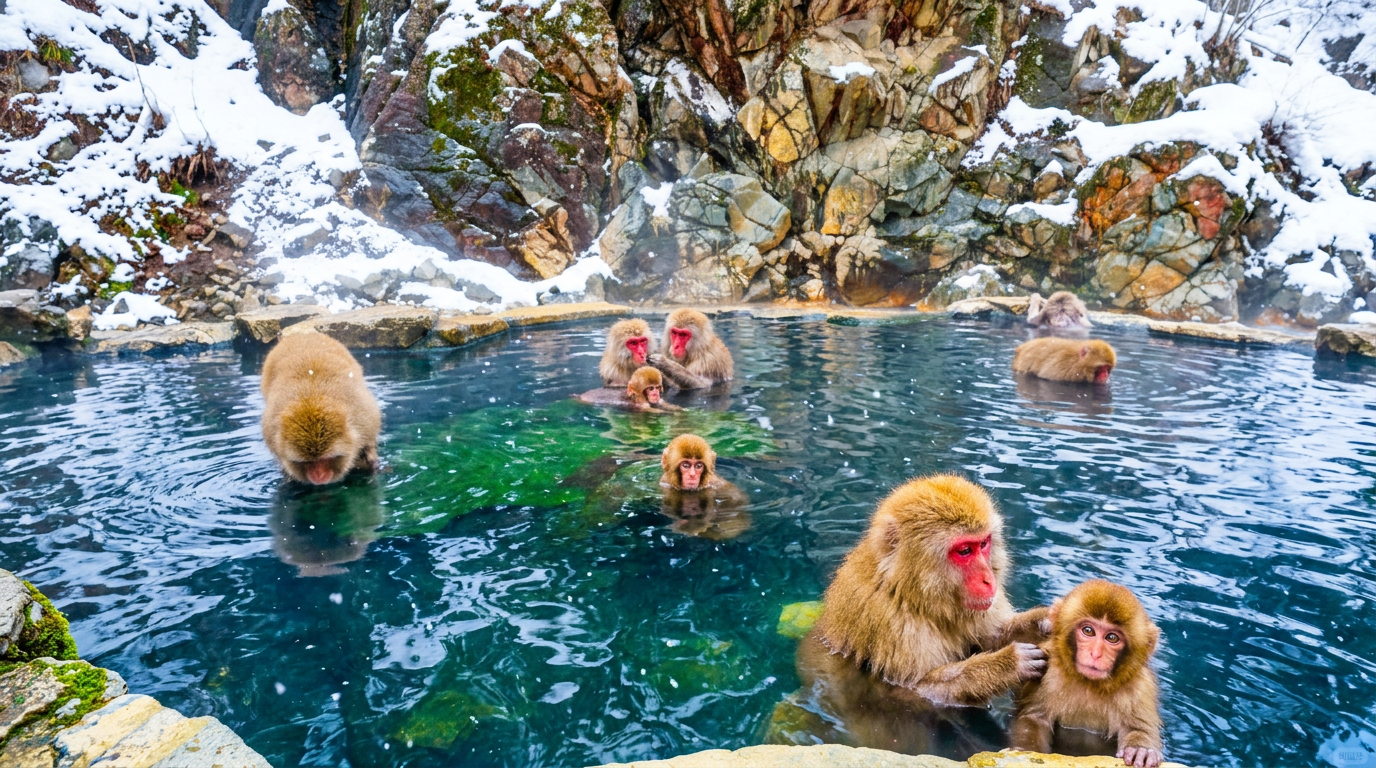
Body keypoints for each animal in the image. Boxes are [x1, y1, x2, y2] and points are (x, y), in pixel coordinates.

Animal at [261, 331, 381, 486]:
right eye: (309, 462)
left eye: (325, 459)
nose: (319, 476)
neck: (313, 399)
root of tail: (303, 335)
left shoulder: (365, 419)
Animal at [1011, 580, 1163, 768]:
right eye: (1088, 631)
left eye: (1112, 638)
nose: (1095, 654)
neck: (1089, 683)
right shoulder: (1048, 673)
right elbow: (1034, 719)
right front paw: (1026, 751)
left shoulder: (1142, 687)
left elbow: (1138, 728)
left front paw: (1140, 750)